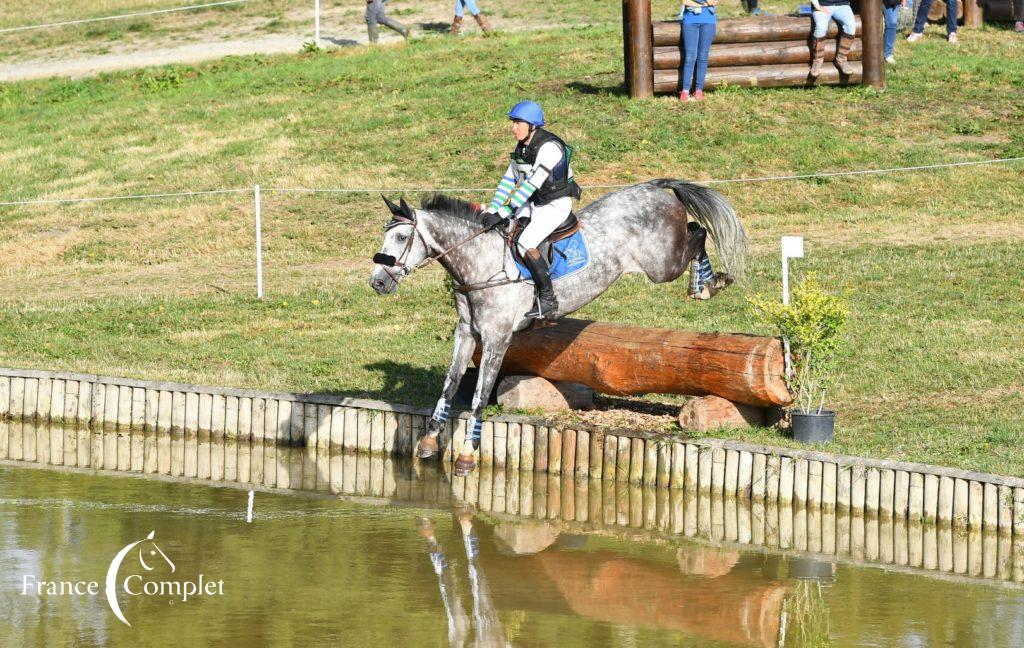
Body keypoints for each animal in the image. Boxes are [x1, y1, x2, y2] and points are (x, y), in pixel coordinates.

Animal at [368, 179, 745, 472]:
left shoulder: (496, 339)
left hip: (661, 265)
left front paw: (466, 456)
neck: (479, 263)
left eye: (401, 238)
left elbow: (478, 397)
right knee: (695, 231)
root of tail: (654, 187)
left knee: (697, 233)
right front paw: (429, 441)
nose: (377, 283)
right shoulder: (466, 334)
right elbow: (449, 387)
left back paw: (709, 284)